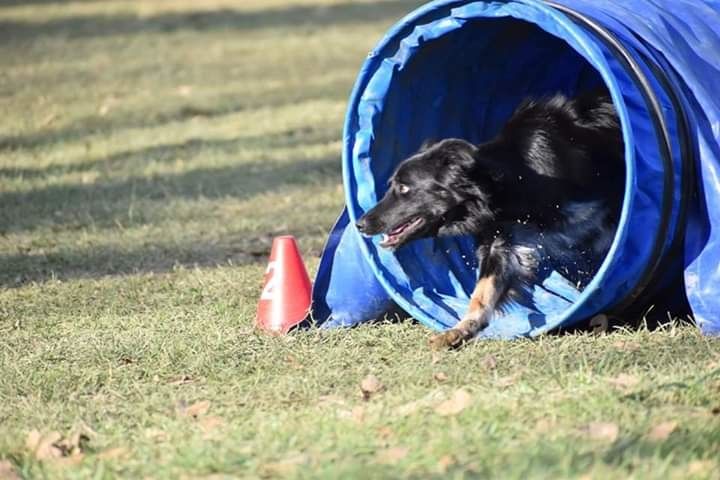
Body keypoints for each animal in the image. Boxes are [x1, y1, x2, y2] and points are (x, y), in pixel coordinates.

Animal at [358, 92, 628, 346]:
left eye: (404, 188)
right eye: (392, 185)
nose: (361, 224)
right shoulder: (501, 244)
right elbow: (482, 294)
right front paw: (459, 330)